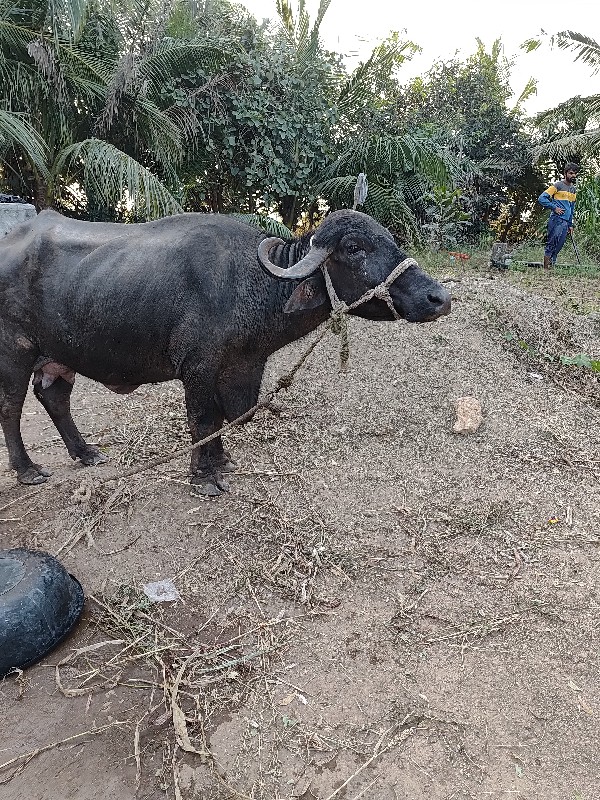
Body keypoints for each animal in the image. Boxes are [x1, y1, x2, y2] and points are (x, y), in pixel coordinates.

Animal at [0, 208, 450, 494]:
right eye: (354, 248)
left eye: (389, 238)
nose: (439, 298)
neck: (251, 283)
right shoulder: (198, 367)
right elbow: (202, 418)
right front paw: (203, 477)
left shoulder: (236, 367)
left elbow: (219, 418)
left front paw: (220, 461)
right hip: (15, 352)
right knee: (11, 407)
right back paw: (27, 470)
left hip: (59, 357)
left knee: (54, 397)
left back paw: (85, 452)